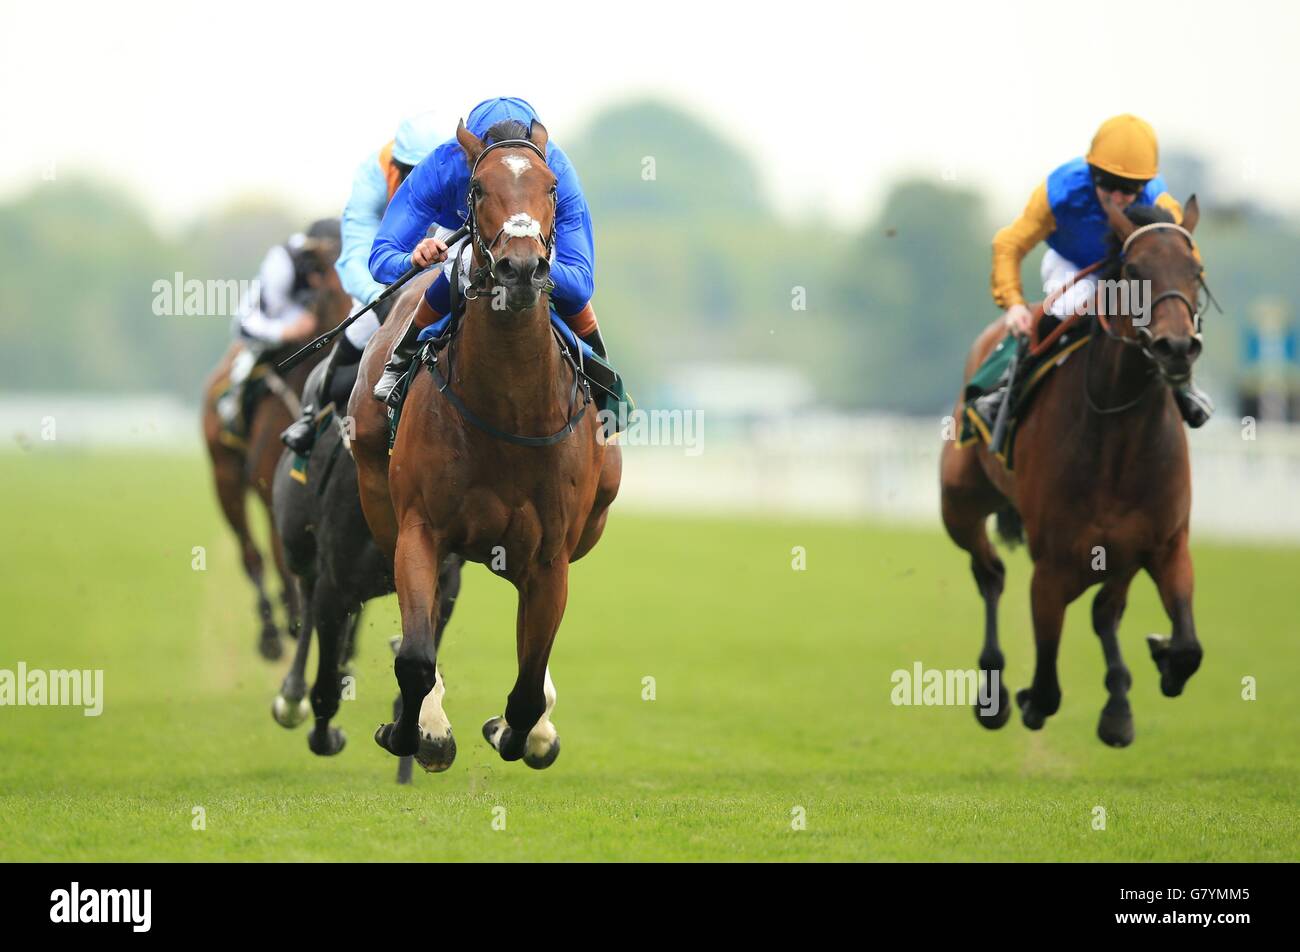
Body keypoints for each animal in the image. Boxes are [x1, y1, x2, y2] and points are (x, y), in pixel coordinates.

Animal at [353, 120, 621, 775]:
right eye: (477, 189)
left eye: (551, 187)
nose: (520, 268)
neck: (509, 410)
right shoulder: (420, 528)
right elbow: (416, 657)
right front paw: (414, 732)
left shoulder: (551, 554)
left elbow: (527, 687)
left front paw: (522, 733)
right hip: (381, 500)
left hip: (586, 525)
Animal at [946, 197, 1206, 749]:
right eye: (1134, 271)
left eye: (1196, 271)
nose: (1177, 348)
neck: (1119, 438)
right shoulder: (1052, 565)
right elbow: (1046, 687)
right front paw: (1027, 699)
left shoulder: (1164, 543)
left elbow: (1187, 646)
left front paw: (1160, 659)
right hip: (958, 504)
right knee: (990, 573)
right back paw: (994, 693)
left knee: (1105, 611)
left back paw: (1119, 703)